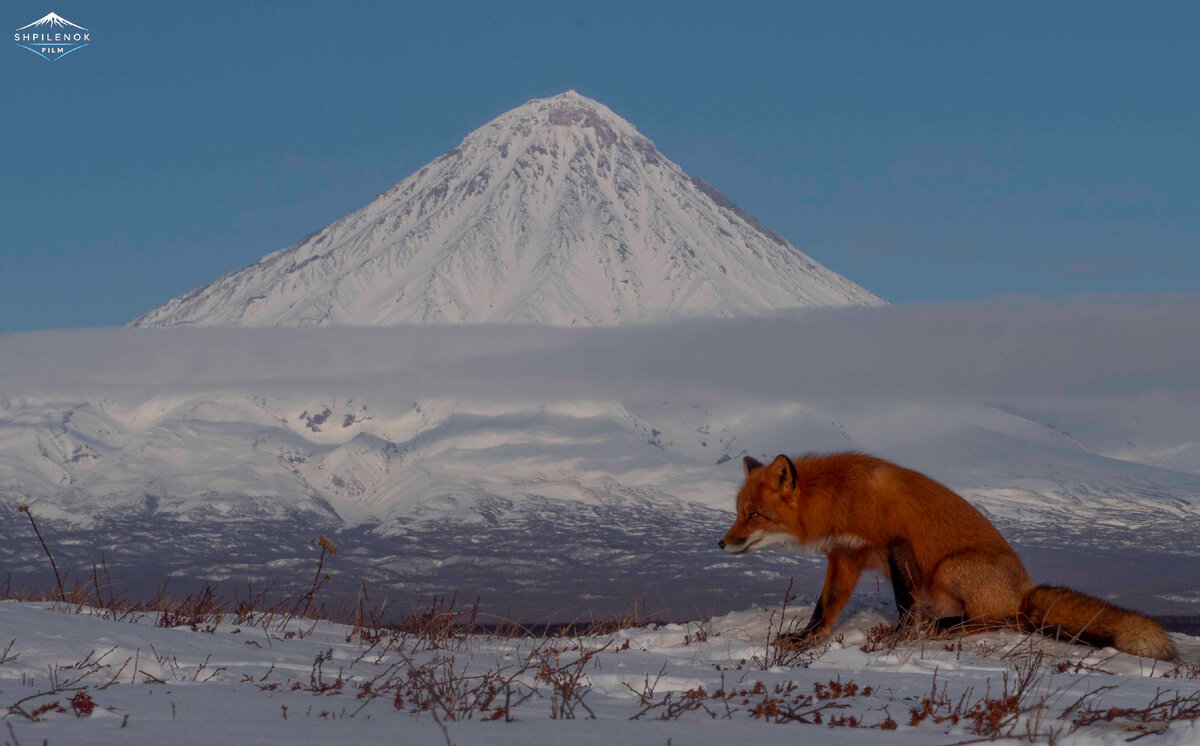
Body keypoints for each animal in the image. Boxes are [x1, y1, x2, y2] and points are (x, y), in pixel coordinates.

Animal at [715, 453, 1176, 662]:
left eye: (754, 515)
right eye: (738, 512)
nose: (721, 544)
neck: (840, 496)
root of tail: (1025, 587)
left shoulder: (895, 544)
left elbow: (904, 602)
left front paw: (900, 637)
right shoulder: (847, 555)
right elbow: (825, 608)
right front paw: (804, 640)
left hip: (952, 568)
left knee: (1004, 619)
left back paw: (943, 627)